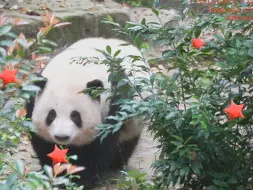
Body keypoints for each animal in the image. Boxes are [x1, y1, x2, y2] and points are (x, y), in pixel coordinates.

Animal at [25, 37, 151, 189]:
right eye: (51, 114)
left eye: (75, 115)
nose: (62, 137)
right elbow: (43, 143)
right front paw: (54, 171)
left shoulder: (114, 104)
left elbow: (98, 148)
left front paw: (78, 180)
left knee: (126, 142)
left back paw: (117, 164)